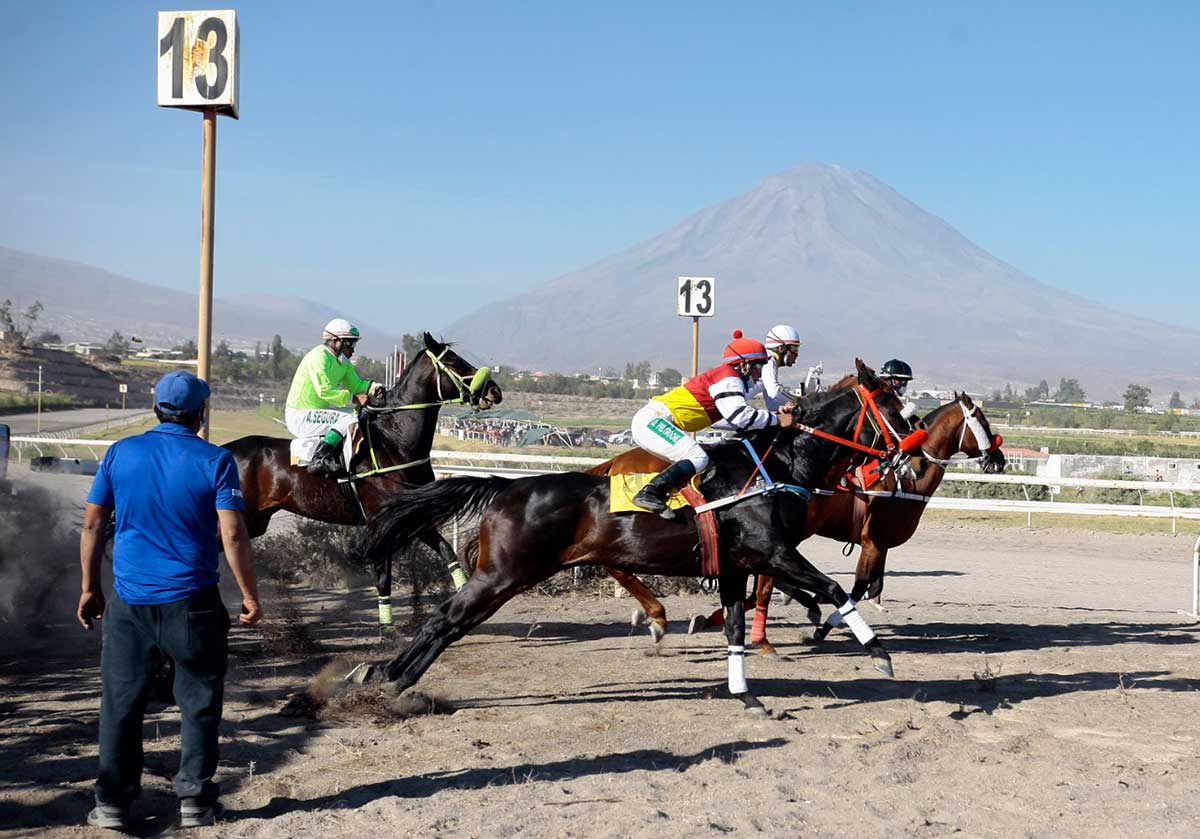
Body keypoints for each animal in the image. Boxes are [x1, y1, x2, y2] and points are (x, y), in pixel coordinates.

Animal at [224, 331, 501, 628]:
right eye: (454, 362)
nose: (494, 391)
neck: (394, 442)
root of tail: (226, 449)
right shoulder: (381, 520)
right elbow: (383, 575)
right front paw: (387, 628)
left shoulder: (410, 514)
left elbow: (447, 551)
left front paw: (463, 593)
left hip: (255, 520)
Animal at [357, 360, 916, 715]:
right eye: (893, 409)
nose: (910, 451)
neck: (775, 466)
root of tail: (505, 486)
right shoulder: (772, 552)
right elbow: (835, 589)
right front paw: (879, 654)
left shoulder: (736, 566)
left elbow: (737, 629)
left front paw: (746, 695)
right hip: (503, 573)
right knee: (445, 620)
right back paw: (391, 680)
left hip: (508, 575)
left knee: (449, 622)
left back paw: (384, 675)